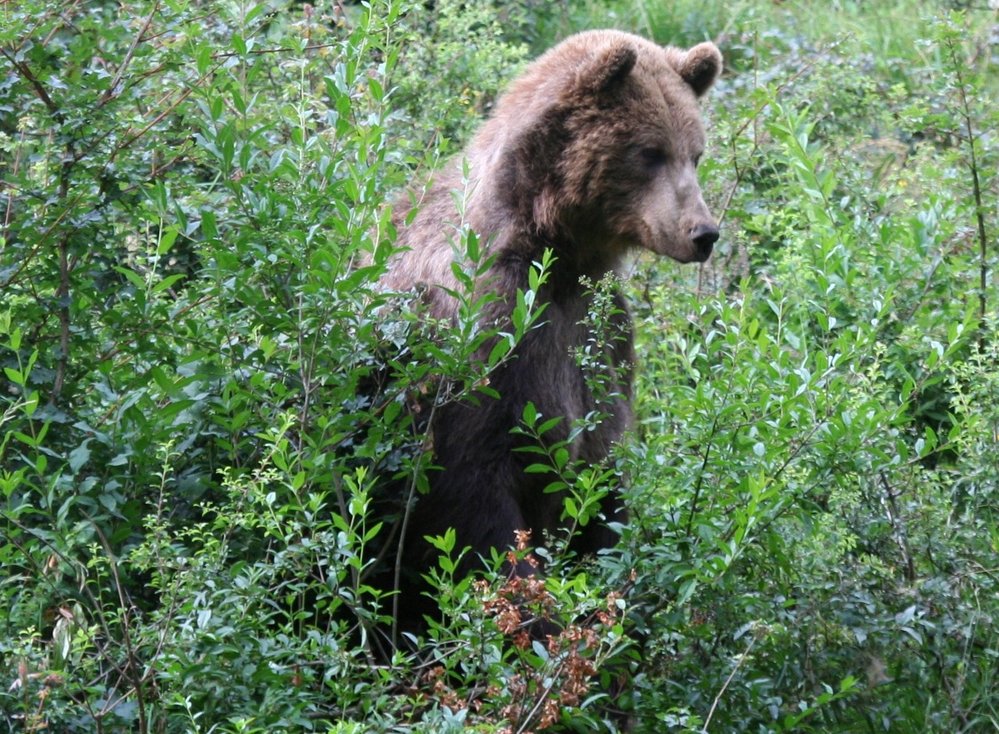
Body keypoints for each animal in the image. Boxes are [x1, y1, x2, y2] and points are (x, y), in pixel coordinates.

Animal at [378, 30, 724, 632]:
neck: (552, 249)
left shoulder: (598, 330)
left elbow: (601, 470)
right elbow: (474, 493)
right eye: (649, 152)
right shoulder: (488, 333)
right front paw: (533, 614)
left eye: (696, 152)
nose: (703, 233)